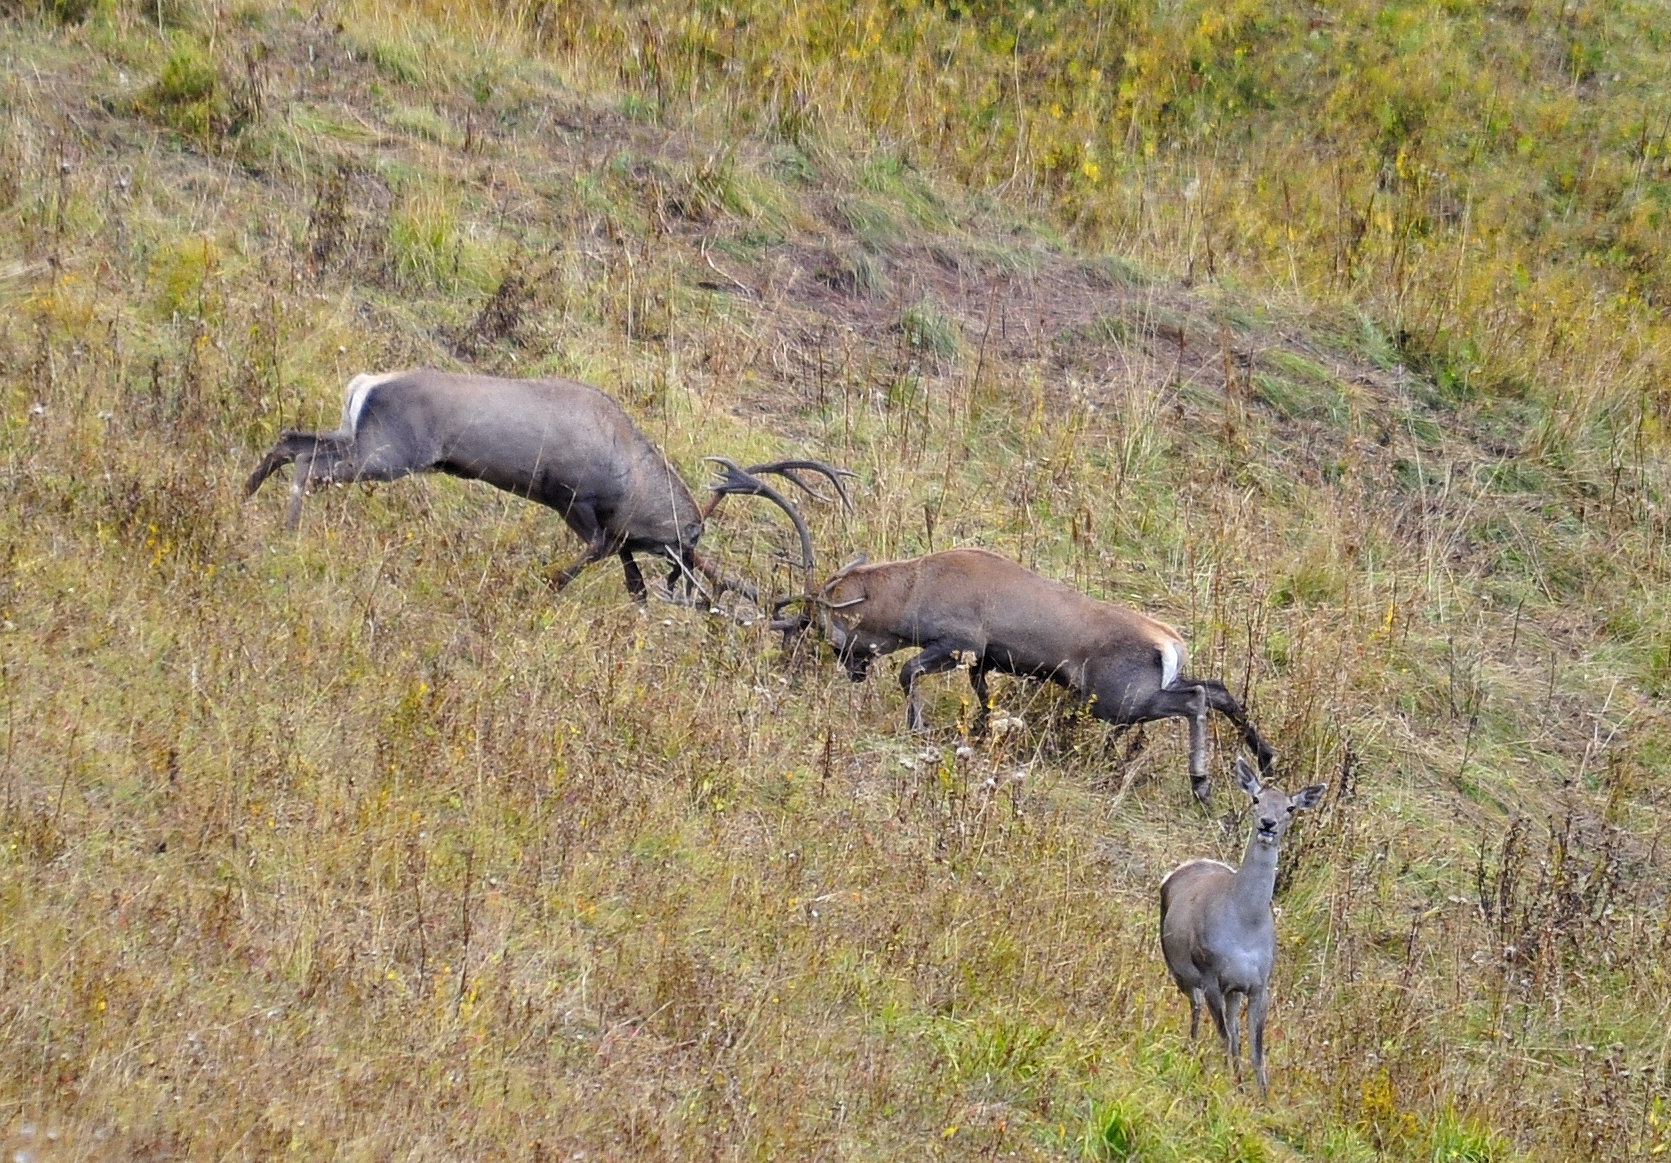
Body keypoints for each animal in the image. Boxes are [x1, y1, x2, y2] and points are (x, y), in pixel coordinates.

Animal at [1156, 758, 1323, 1096]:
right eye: (1256, 799)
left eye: (1290, 808)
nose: (1268, 824)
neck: (1245, 929)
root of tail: (1185, 865)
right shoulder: (1210, 973)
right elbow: (1224, 1035)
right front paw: (1230, 1084)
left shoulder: (1260, 983)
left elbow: (1255, 1048)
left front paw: (1260, 1094)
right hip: (1179, 968)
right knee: (1196, 1009)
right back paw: (1191, 1049)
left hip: (1233, 989)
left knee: (1231, 1027)